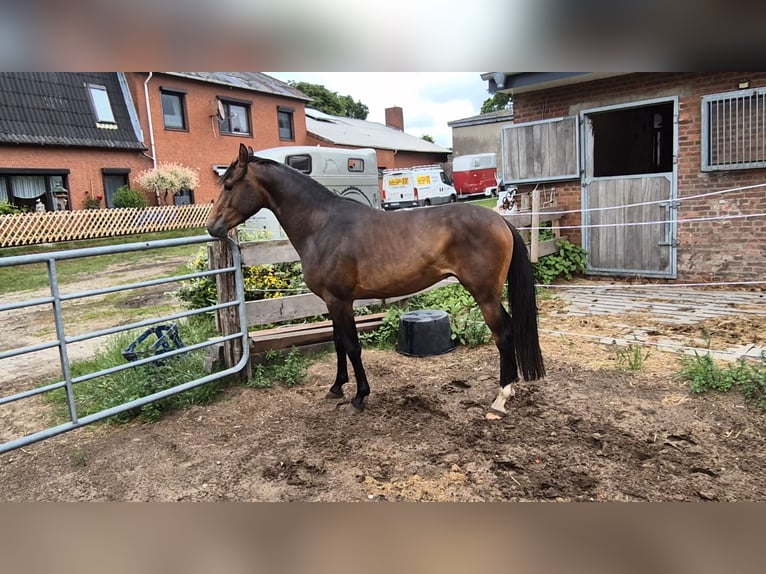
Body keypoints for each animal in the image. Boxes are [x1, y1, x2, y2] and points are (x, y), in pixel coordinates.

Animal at [207, 143, 545, 416]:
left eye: (229, 185)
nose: (212, 227)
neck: (322, 225)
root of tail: (499, 220)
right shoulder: (332, 302)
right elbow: (338, 344)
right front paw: (336, 388)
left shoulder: (340, 301)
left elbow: (352, 346)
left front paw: (359, 396)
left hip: (485, 295)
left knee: (504, 335)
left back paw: (501, 398)